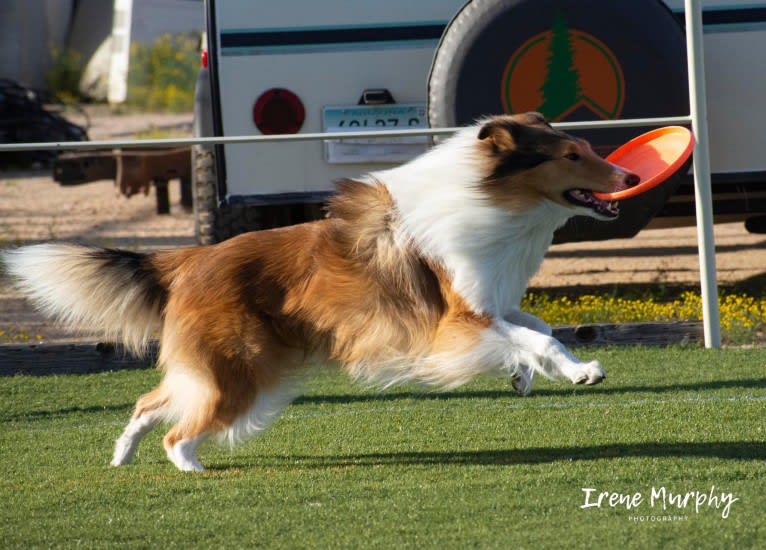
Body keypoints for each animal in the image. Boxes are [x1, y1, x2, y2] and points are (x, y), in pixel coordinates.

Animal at [4, 113, 640, 474]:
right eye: (571, 155)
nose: (632, 177)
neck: (491, 199)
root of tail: (191, 258)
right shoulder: (456, 321)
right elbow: (538, 338)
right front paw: (578, 372)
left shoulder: (492, 302)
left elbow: (539, 328)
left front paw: (531, 373)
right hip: (243, 373)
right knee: (179, 429)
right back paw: (191, 468)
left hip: (224, 368)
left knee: (151, 401)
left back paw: (122, 455)